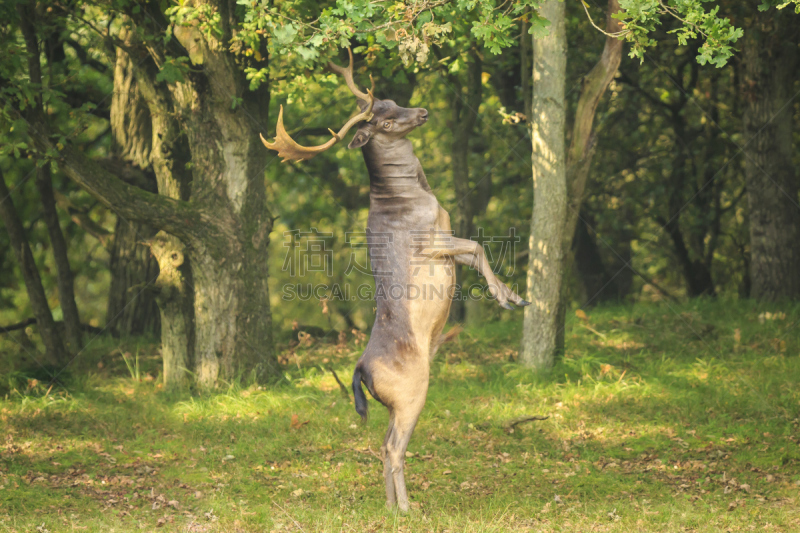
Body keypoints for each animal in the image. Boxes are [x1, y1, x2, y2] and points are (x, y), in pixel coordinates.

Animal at [260, 51, 532, 512]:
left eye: (392, 100)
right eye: (384, 122)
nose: (421, 112)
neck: (415, 196)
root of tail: (360, 370)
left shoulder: (446, 241)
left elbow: (477, 256)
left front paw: (515, 296)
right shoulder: (427, 242)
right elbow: (479, 245)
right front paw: (507, 299)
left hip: (391, 404)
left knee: (381, 444)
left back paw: (391, 507)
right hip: (410, 392)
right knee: (392, 447)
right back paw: (407, 507)